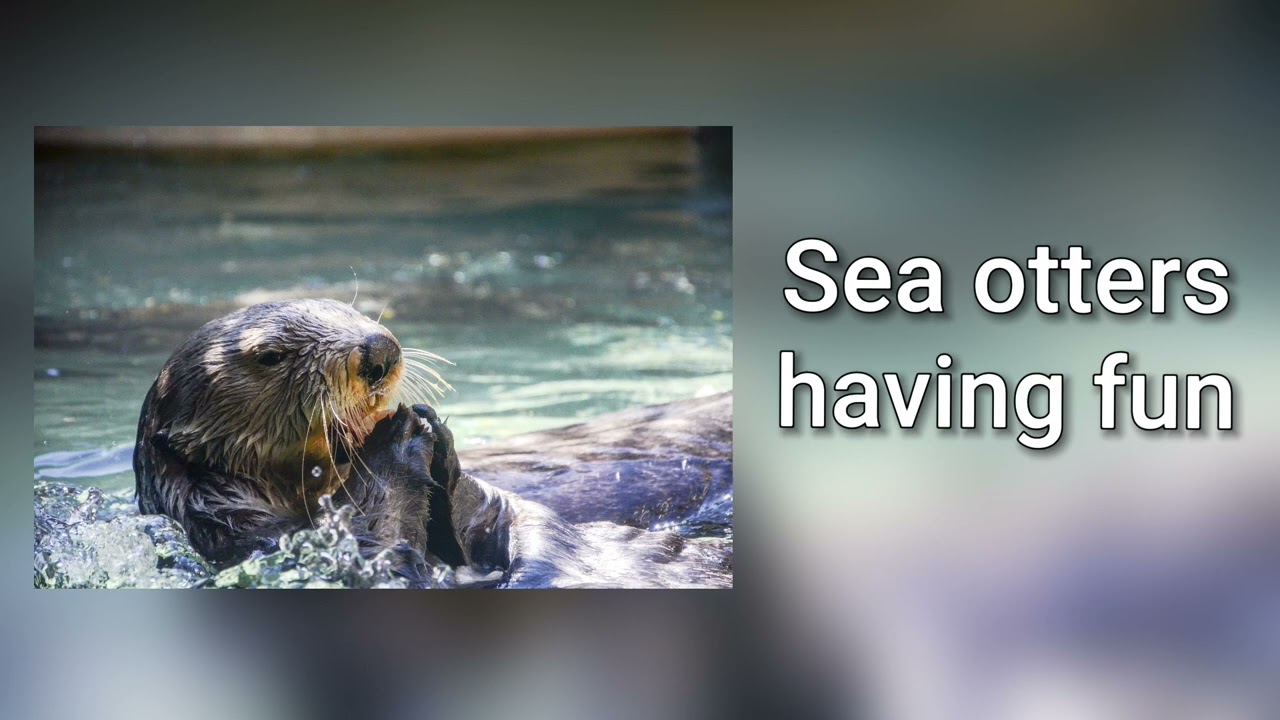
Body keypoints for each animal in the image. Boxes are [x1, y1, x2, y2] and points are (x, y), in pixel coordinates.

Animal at [134, 299, 731, 588]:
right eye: (270, 355)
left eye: (349, 309)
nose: (380, 348)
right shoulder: (255, 541)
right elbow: (392, 564)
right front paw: (394, 442)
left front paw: (433, 435)